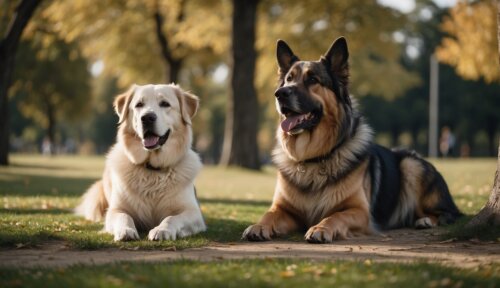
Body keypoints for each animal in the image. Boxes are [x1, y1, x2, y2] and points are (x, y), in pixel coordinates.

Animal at [76, 83, 205, 241]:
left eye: (165, 104)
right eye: (139, 105)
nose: (147, 118)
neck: (152, 169)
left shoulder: (193, 212)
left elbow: (171, 218)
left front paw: (162, 230)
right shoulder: (116, 210)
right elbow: (123, 216)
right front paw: (125, 231)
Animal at [242, 37, 460, 242]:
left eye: (312, 79)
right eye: (288, 79)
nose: (279, 94)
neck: (313, 157)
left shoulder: (360, 212)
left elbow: (335, 216)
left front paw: (321, 228)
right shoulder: (285, 209)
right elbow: (269, 214)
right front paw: (258, 226)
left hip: (411, 166)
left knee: (446, 214)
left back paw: (425, 220)